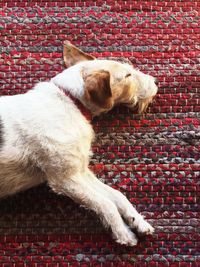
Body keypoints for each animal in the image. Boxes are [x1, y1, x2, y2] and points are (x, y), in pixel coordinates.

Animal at [0, 41, 158, 247]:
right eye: (127, 76)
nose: (155, 81)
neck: (70, 101)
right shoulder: (65, 179)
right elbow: (106, 204)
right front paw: (123, 233)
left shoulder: (80, 171)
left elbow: (117, 195)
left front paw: (138, 221)